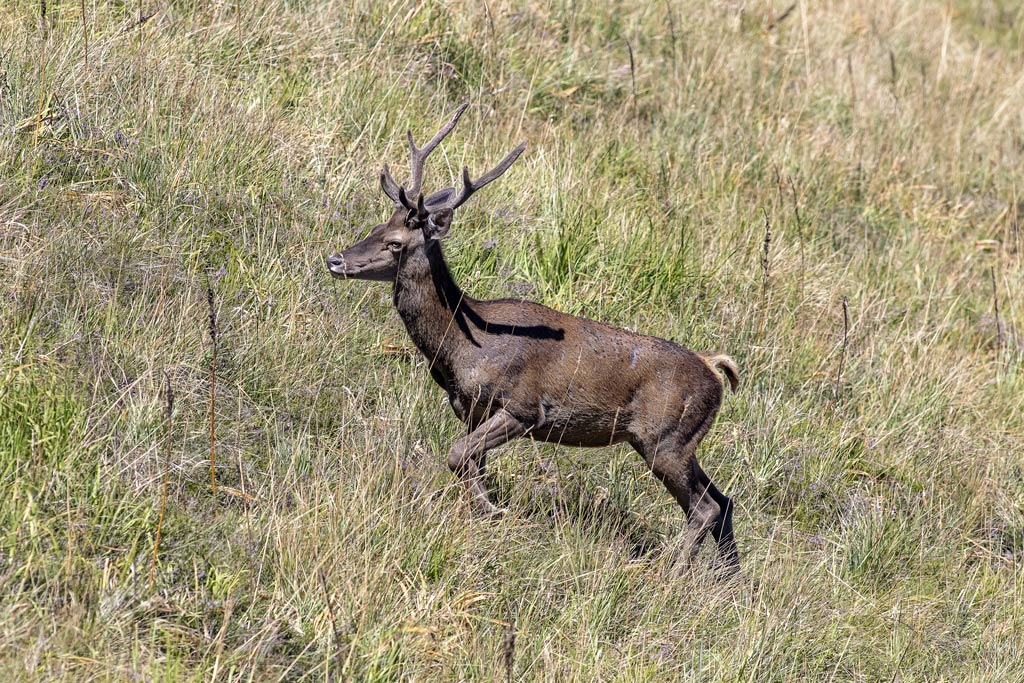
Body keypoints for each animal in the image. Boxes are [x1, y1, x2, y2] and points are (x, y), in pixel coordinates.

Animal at [327, 103, 741, 571]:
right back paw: (729, 578)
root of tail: (715, 370)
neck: (462, 347)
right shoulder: (469, 408)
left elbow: (457, 455)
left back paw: (675, 571)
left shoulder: (525, 408)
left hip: (665, 439)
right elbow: (472, 463)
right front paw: (483, 510)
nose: (335, 259)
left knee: (705, 507)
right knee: (723, 501)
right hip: (678, 443)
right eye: (377, 226)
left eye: (395, 243)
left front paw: (494, 511)